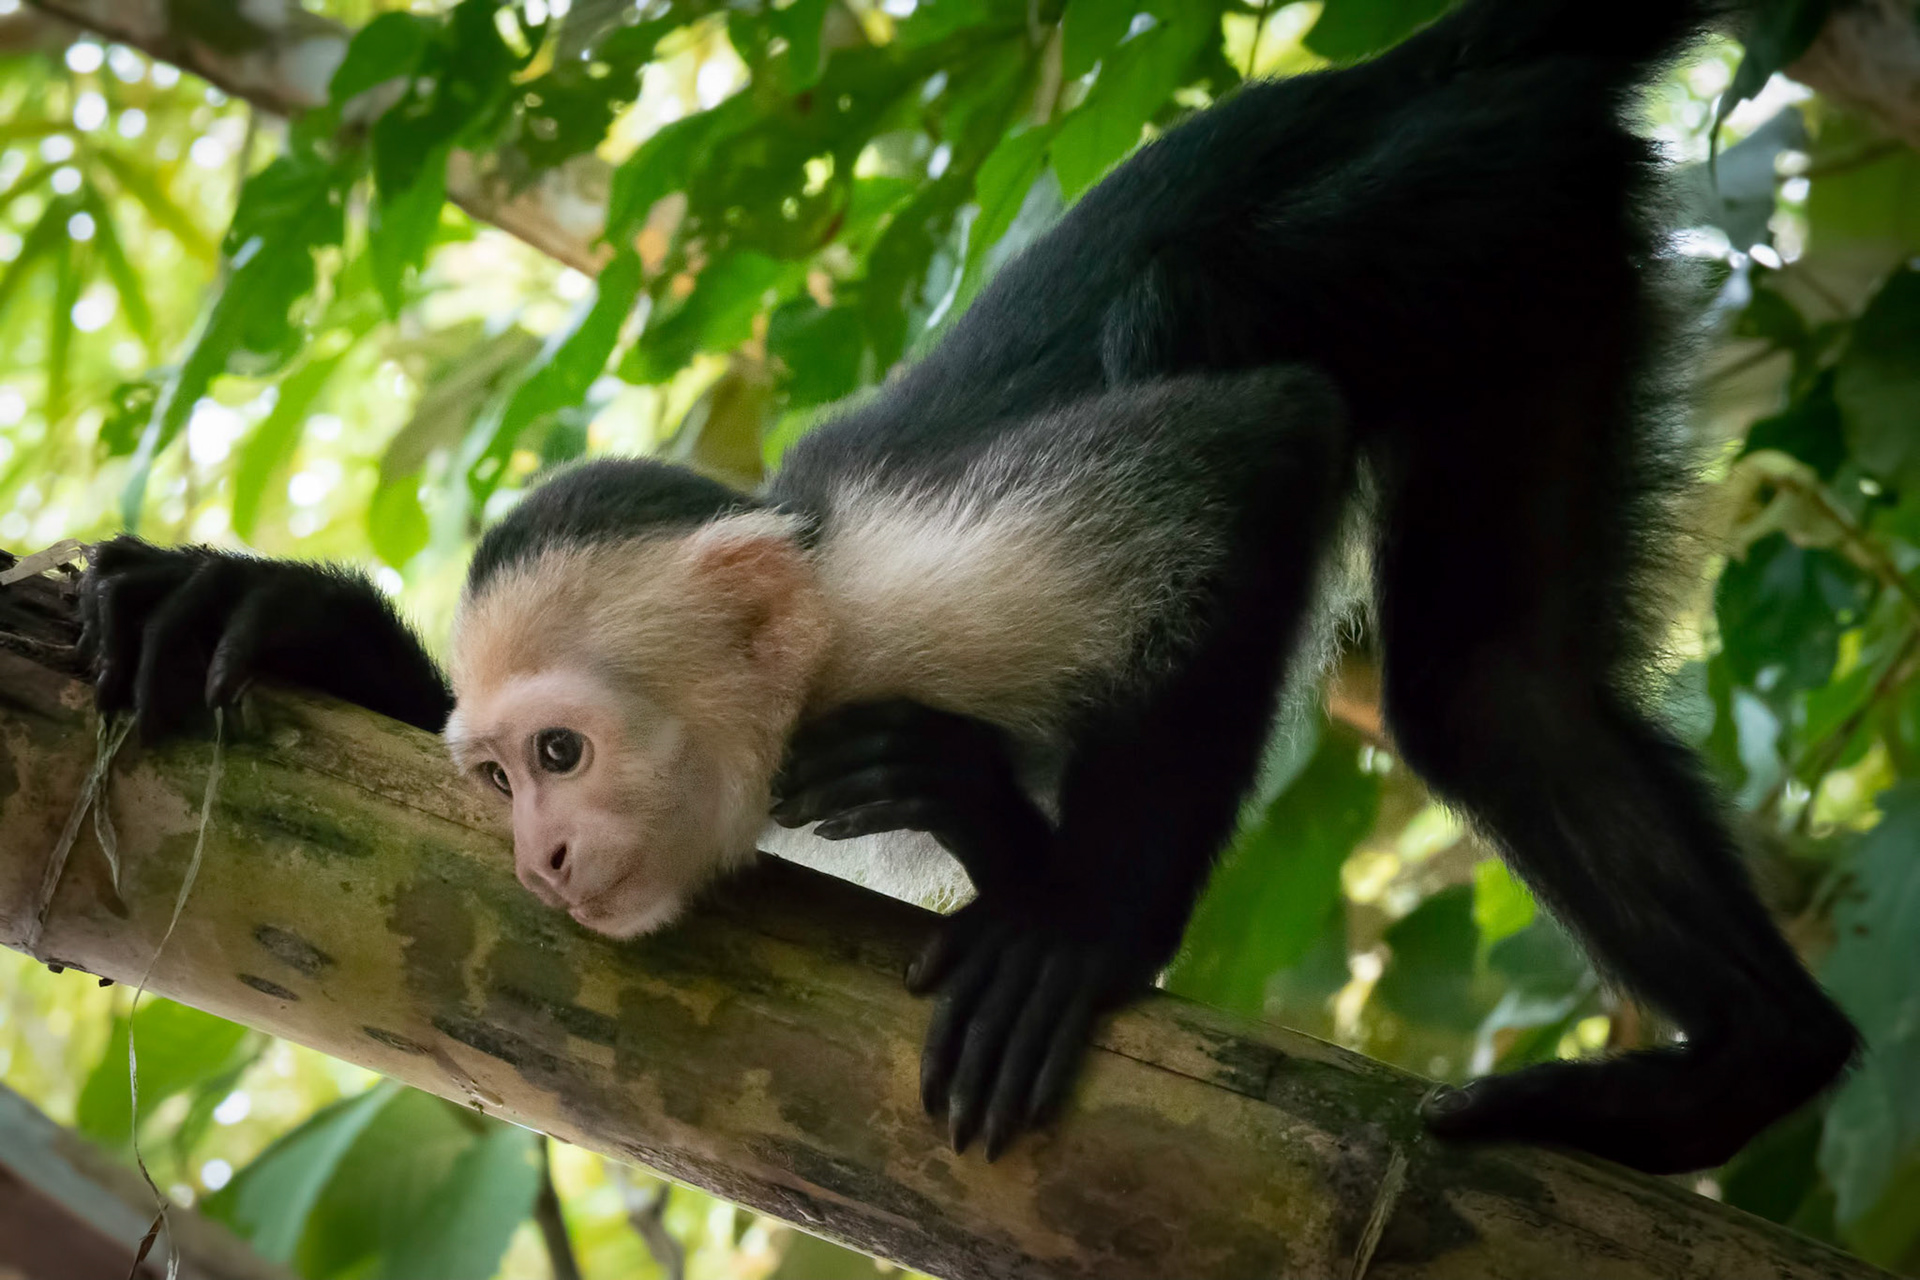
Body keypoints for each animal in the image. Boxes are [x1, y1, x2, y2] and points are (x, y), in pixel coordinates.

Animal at [79, 0, 1860, 1175]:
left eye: (565, 757)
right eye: (498, 778)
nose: (541, 859)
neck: (823, 627)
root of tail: (1399, 71)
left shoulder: (947, 581)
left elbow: (1263, 443)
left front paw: (1074, 921)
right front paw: (272, 615)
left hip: (1458, 198)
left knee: (1246, 345)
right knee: (1495, 689)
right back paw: (1759, 1062)